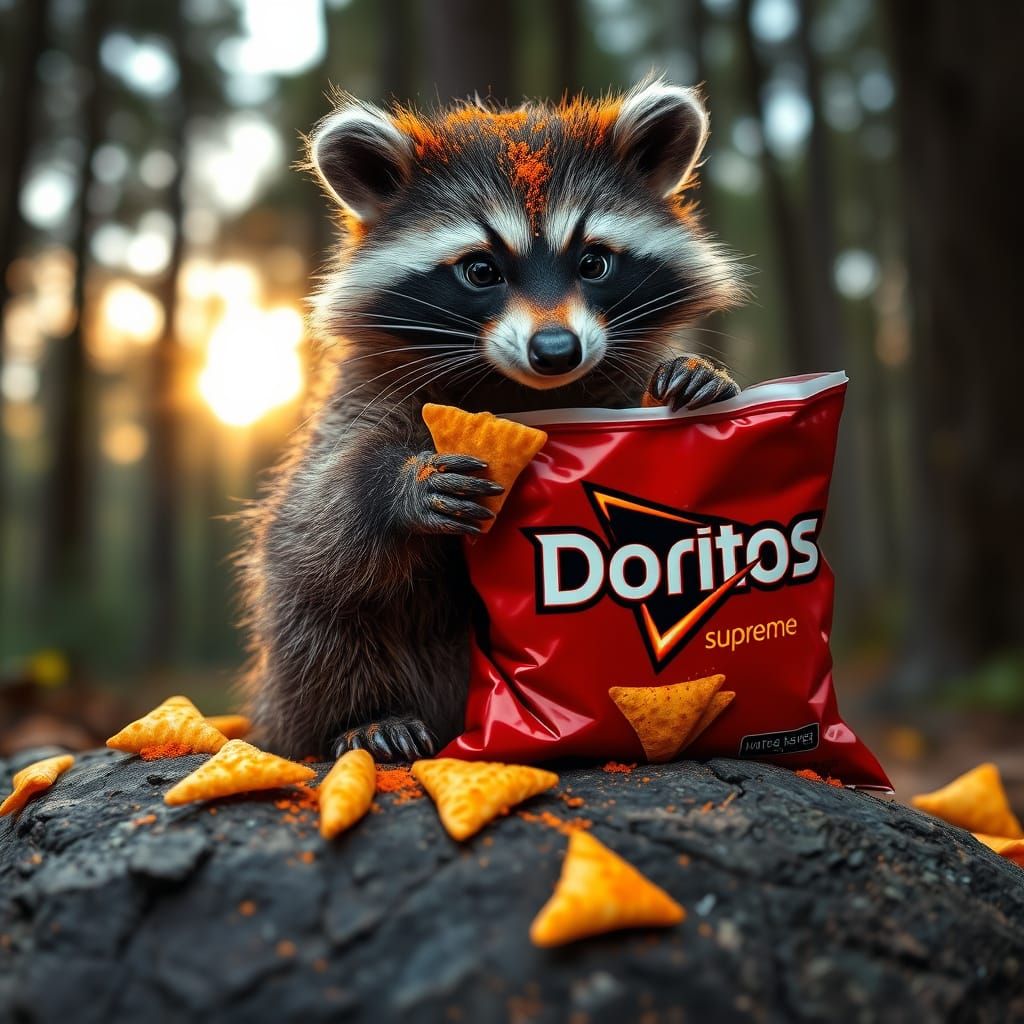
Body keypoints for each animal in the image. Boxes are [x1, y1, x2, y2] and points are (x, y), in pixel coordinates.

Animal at [242, 77, 747, 762]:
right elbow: (317, 510)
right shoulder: (361, 399)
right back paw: (362, 715)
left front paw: (695, 373)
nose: (556, 351)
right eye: (481, 270)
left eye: (593, 263)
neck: (524, 392)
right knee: (311, 606)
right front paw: (401, 485)